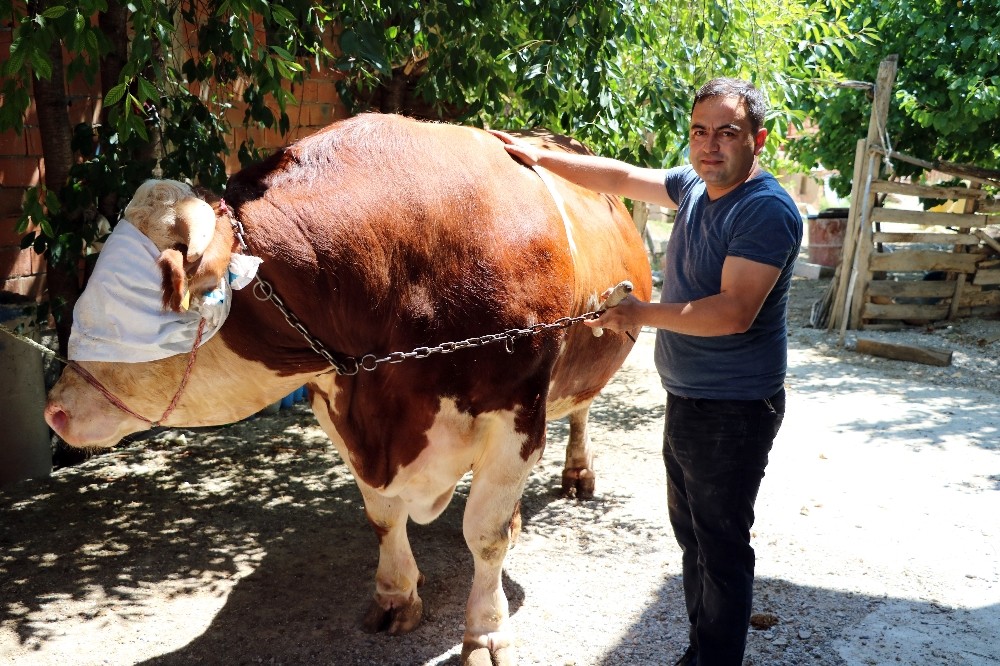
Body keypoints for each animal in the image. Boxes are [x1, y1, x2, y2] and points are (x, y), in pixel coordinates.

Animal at [44, 113, 652, 665]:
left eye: (123, 303)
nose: (55, 410)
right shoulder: (339, 407)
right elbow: (384, 517)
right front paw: (396, 597)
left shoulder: (517, 413)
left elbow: (484, 533)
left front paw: (486, 632)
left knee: (579, 411)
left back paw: (577, 474)